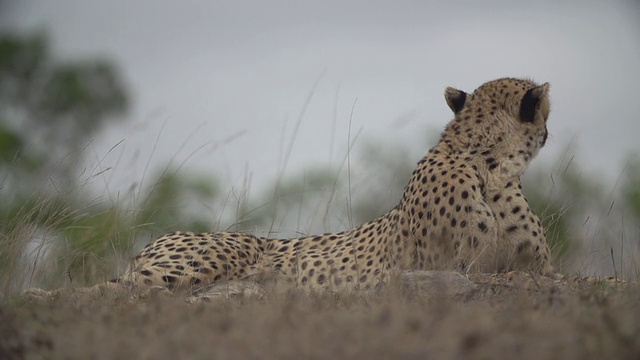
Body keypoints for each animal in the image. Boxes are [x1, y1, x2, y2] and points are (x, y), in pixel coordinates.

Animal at [27, 78, 556, 298]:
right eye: (545, 111)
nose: (550, 130)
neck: (487, 162)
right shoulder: (449, 268)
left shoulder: (535, 269)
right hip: (213, 256)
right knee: (108, 289)